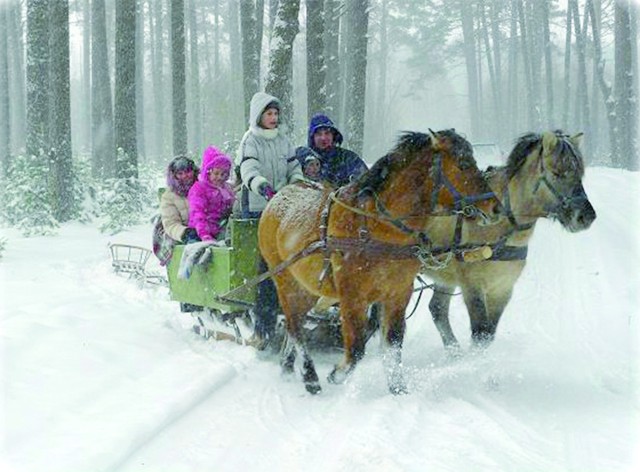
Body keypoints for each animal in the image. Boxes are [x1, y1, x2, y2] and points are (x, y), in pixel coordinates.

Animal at [258, 129, 502, 394]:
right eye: (464, 164)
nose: (496, 208)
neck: (377, 227)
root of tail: (279, 196)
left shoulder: (398, 293)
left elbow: (393, 342)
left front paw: (397, 388)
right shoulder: (353, 297)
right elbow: (356, 348)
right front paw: (336, 374)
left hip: (308, 288)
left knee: (295, 324)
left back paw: (288, 367)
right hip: (286, 281)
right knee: (294, 326)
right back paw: (311, 377)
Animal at [422, 129, 596, 350]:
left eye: (579, 173)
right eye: (558, 173)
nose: (586, 216)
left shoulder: (503, 288)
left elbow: (489, 334)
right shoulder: (472, 286)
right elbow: (480, 334)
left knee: (437, 309)